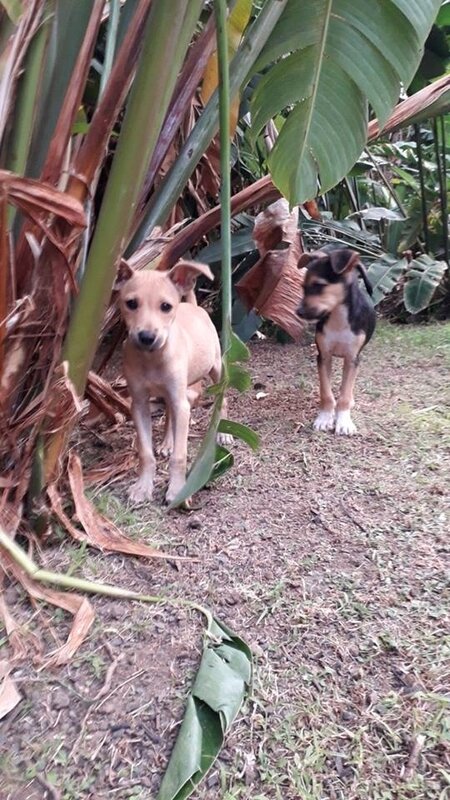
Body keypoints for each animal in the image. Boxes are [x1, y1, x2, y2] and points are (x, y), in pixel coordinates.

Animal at [116, 260, 230, 504]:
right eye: (131, 303)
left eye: (166, 306)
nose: (147, 337)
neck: (152, 359)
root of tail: (194, 306)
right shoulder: (139, 404)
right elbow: (145, 453)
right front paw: (143, 487)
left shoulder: (181, 403)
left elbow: (180, 454)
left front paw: (177, 490)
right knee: (169, 412)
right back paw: (167, 442)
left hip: (216, 368)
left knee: (222, 399)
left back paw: (223, 432)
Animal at [298, 250, 374, 438]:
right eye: (303, 287)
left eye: (318, 285)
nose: (298, 312)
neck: (338, 317)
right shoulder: (324, 356)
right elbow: (326, 392)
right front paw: (325, 418)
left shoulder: (352, 358)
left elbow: (345, 395)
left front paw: (344, 421)